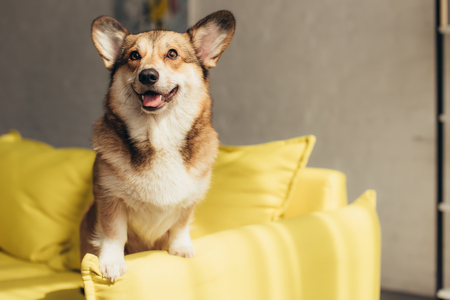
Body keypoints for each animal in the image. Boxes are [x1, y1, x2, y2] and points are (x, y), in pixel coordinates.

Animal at [80, 9, 236, 282]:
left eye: (172, 54)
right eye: (134, 56)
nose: (148, 75)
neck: (159, 134)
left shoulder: (189, 201)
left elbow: (180, 226)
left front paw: (180, 248)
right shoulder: (109, 199)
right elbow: (113, 234)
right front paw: (111, 263)